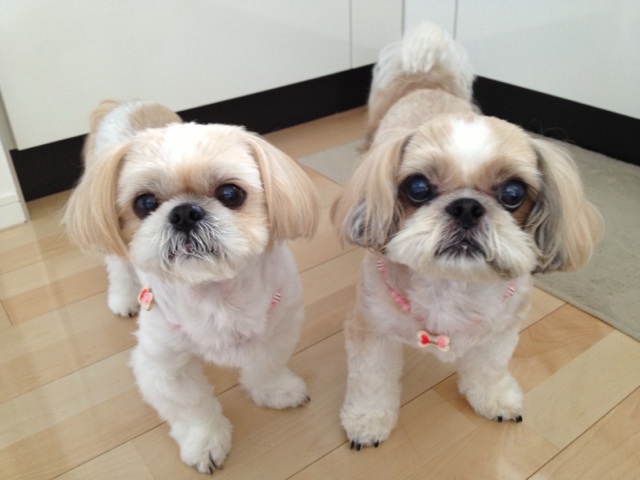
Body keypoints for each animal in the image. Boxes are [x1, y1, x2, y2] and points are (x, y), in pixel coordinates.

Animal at [64, 100, 319, 472]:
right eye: (144, 203)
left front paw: (275, 390)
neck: (216, 295)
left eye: (230, 193)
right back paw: (123, 298)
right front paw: (206, 443)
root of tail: (123, 104)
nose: (184, 212)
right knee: (119, 267)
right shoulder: (162, 366)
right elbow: (192, 407)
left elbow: (266, 365)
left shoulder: (279, 325)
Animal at [331, 22, 604, 449]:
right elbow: (371, 381)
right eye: (418, 187)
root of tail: (425, 81)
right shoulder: (371, 331)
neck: (450, 285)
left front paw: (493, 398)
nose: (466, 207)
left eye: (513, 193)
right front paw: (368, 420)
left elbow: (489, 368)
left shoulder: (501, 332)